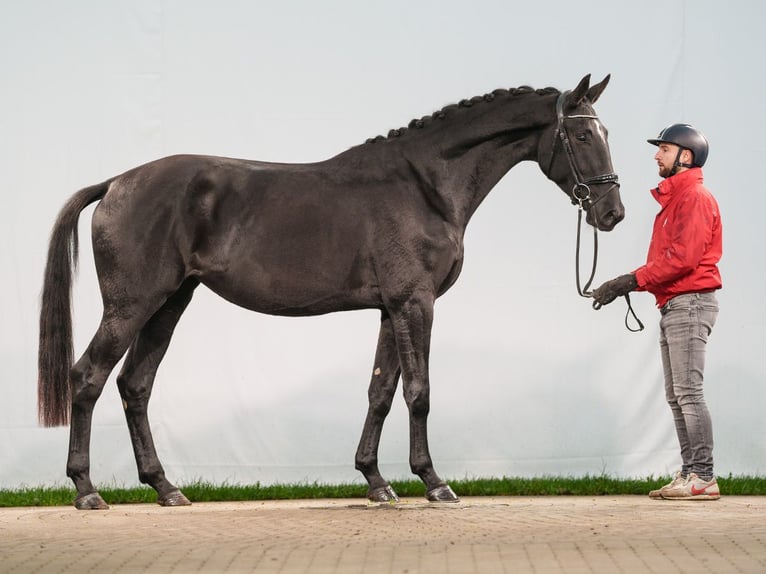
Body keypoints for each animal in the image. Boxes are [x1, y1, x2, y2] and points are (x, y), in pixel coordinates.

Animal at [39, 74, 624, 510]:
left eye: (604, 132)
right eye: (581, 137)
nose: (612, 213)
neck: (424, 187)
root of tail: (116, 183)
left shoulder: (391, 309)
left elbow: (381, 391)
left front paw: (376, 482)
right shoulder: (415, 303)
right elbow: (419, 392)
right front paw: (433, 482)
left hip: (169, 304)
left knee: (135, 385)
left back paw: (165, 488)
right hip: (131, 306)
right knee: (87, 377)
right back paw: (87, 490)